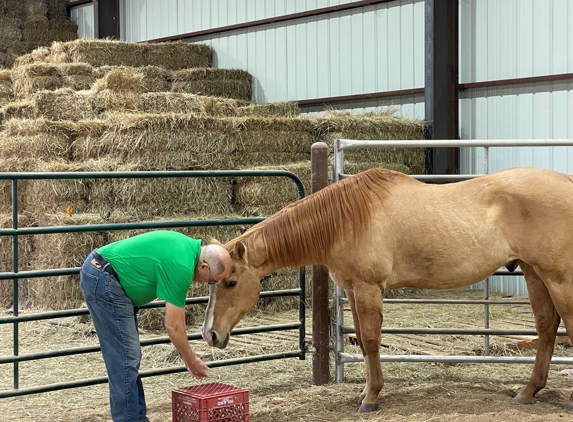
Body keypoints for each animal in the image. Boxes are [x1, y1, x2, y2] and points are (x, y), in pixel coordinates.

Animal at [202, 167, 573, 412]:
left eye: (231, 282)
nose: (210, 335)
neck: (346, 220)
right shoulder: (353, 290)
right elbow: (365, 344)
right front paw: (366, 392)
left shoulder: (368, 289)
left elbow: (370, 340)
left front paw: (371, 398)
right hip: (534, 274)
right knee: (546, 329)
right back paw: (528, 391)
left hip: (558, 279)